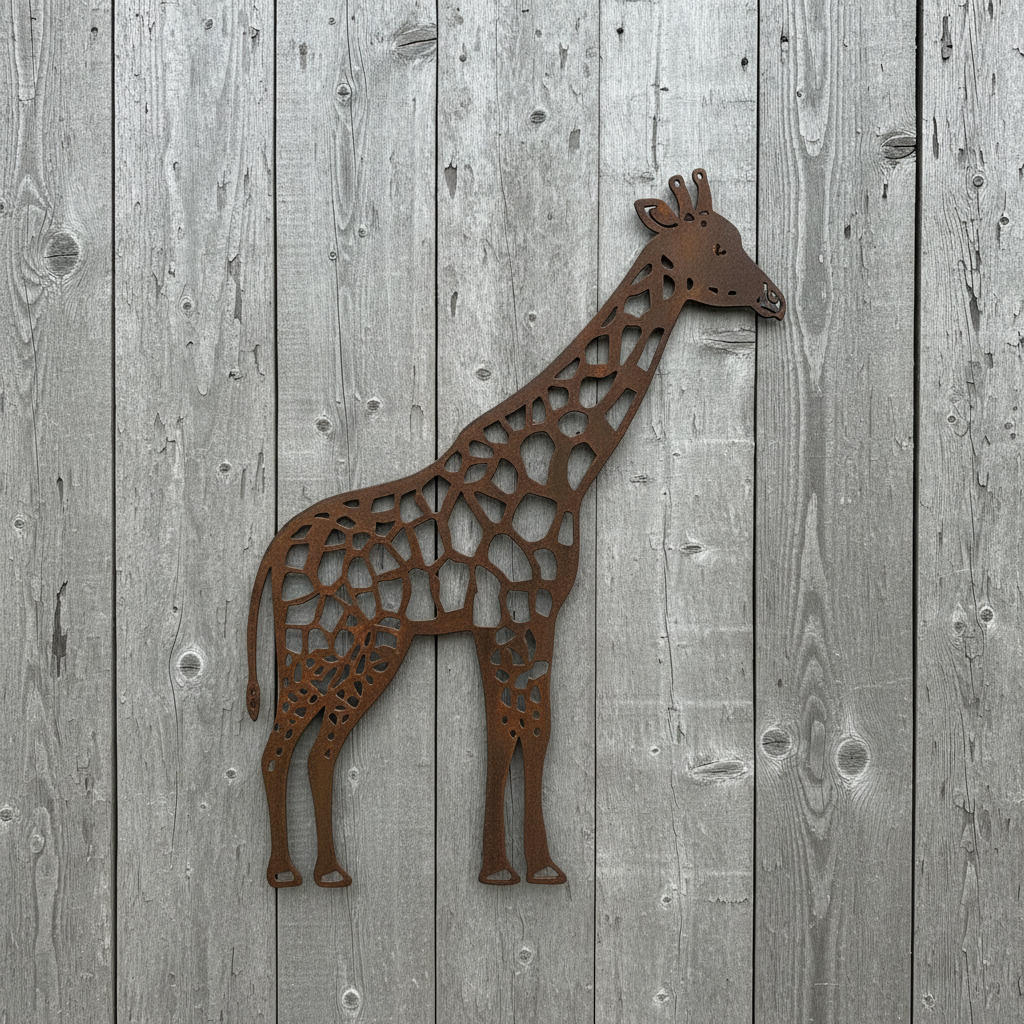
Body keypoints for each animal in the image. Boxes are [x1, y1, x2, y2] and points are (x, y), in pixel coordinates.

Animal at [246, 169, 785, 888]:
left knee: (317, 749)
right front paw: (515, 869)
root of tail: (276, 552)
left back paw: (327, 872)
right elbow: (517, 732)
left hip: (361, 646)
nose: (776, 300)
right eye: (720, 247)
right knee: (282, 748)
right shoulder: (514, 614)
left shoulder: (521, 619)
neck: (562, 474)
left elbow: (526, 731)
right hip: (326, 646)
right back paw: (287, 874)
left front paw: (529, 865)